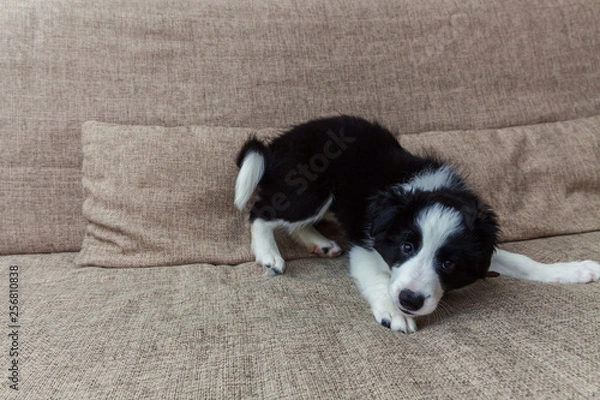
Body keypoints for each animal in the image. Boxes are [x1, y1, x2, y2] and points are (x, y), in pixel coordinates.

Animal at [234, 115, 600, 332]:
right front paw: (393, 312)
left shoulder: (481, 246)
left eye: (449, 263)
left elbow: (523, 261)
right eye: (407, 246)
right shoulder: (367, 244)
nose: (410, 300)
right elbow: (379, 278)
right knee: (261, 212)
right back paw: (269, 255)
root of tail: (277, 145)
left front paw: (575, 270)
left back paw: (320, 243)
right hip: (311, 189)